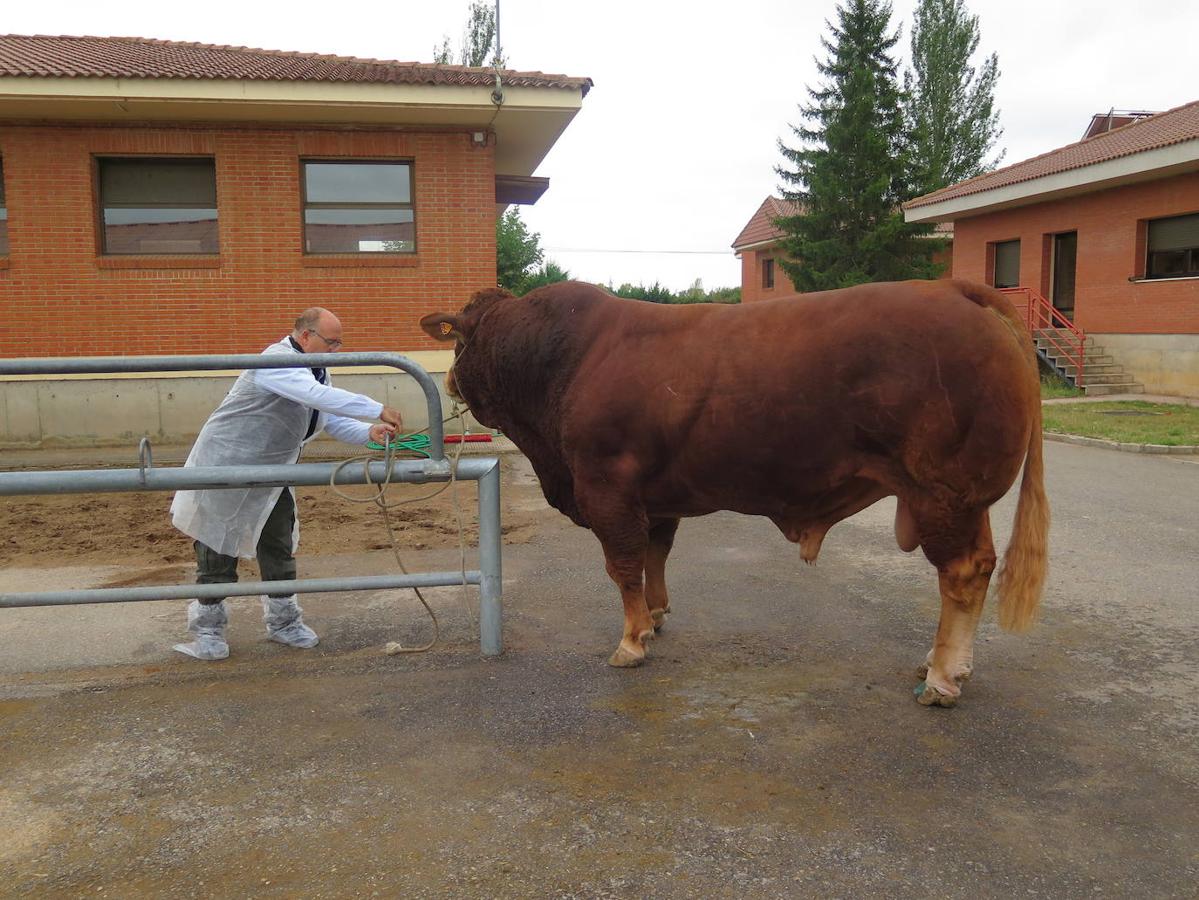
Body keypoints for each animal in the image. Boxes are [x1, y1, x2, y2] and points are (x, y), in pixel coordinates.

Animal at [424, 278, 1050, 709]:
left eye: (458, 341)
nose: (448, 379)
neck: (562, 360)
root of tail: (952, 288)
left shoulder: (606, 487)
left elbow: (623, 564)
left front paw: (631, 642)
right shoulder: (656, 498)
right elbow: (654, 555)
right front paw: (655, 616)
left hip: (943, 493)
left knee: (961, 574)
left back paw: (943, 677)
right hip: (968, 501)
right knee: (979, 566)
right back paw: (939, 664)